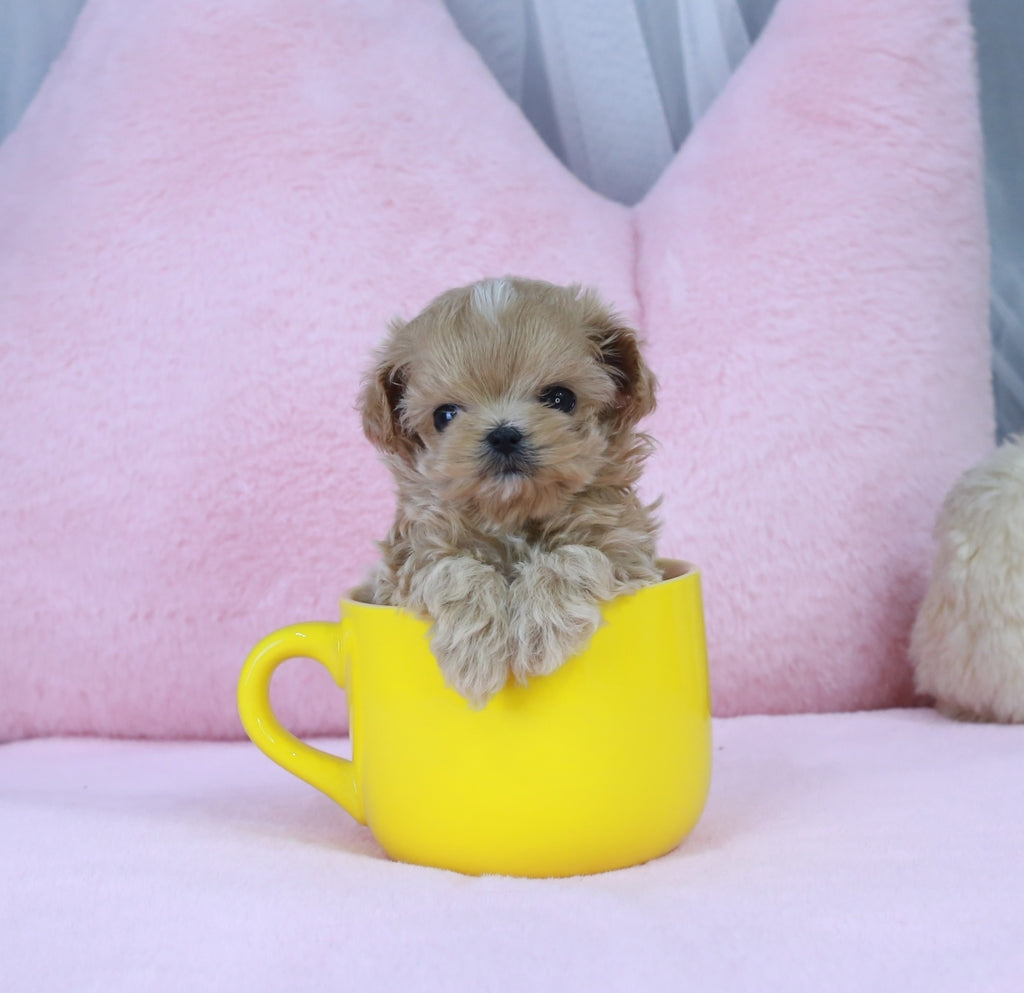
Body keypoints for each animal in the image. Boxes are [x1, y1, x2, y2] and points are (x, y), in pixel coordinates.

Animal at [360, 274, 663, 700]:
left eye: (561, 398)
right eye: (445, 415)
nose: (503, 434)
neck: (513, 515)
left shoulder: (628, 553)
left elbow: (574, 557)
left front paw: (540, 627)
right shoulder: (409, 562)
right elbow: (455, 570)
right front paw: (475, 652)